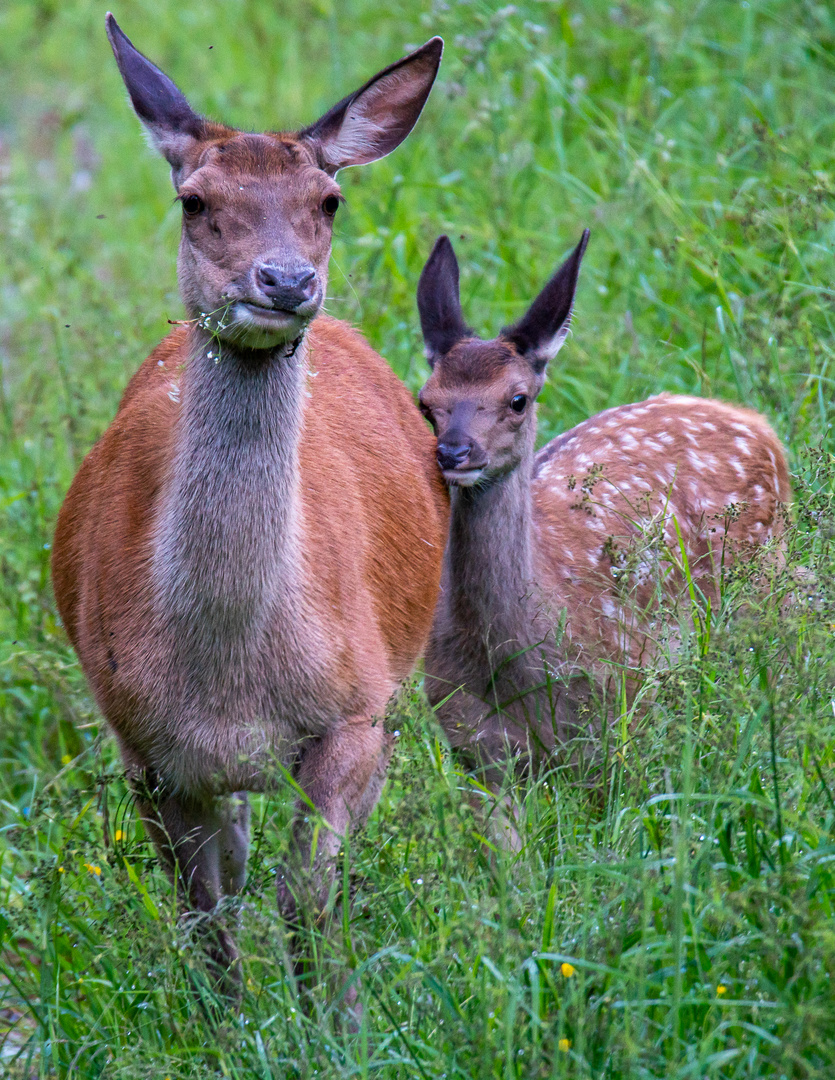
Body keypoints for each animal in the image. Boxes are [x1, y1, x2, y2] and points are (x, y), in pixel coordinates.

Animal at [52, 16, 449, 980]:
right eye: (194, 200)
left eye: (329, 200)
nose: (285, 281)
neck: (229, 674)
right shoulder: (142, 748)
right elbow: (207, 915)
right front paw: (229, 1011)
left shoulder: (358, 705)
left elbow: (304, 892)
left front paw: (334, 1010)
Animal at [416, 232, 786, 781]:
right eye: (426, 403)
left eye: (518, 399)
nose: (454, 452)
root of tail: (757, 423)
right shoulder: (475, 747)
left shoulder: (619, 710)